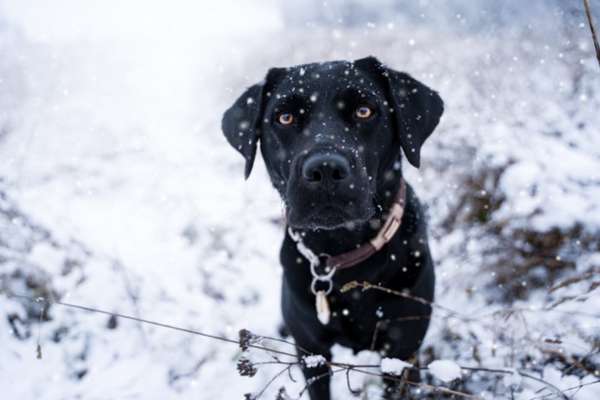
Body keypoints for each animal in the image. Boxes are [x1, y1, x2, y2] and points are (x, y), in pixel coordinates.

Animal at [223, 57, 442, 400]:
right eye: (285, 117)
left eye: (364, 111)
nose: (325, 169)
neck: (343, 251)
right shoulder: (311, 351)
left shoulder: (401, 351)